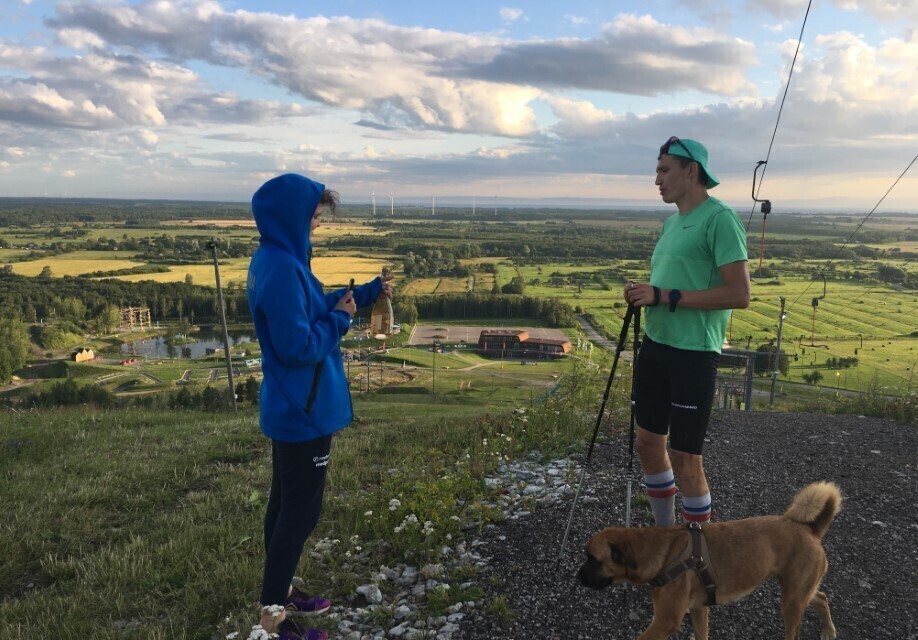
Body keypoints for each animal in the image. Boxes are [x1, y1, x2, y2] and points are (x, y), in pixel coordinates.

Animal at [577, 481, 841, 640]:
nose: (577, 577)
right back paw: (829, 629)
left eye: (593, 559)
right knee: (821, 597)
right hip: (796, 591)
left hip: (792, 599)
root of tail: (811, 530)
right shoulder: (698, 608)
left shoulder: (664, 621)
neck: (660, 551)